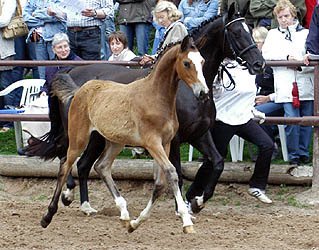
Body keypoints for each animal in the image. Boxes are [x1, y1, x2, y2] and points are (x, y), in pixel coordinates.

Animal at [25, 3, 264, 219]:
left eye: (250, 30)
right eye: (236, 32)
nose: (259, 64)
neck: (184, 89)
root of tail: (71, 70)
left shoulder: (200, 134)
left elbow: (218, 163)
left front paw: (197, 202)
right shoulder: (175, 139)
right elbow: (177, 171)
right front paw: (181, 208)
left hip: (98, 137)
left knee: (83, 165)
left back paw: (87, 205)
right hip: (81, 133)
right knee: (67, 158)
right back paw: (69, 195)